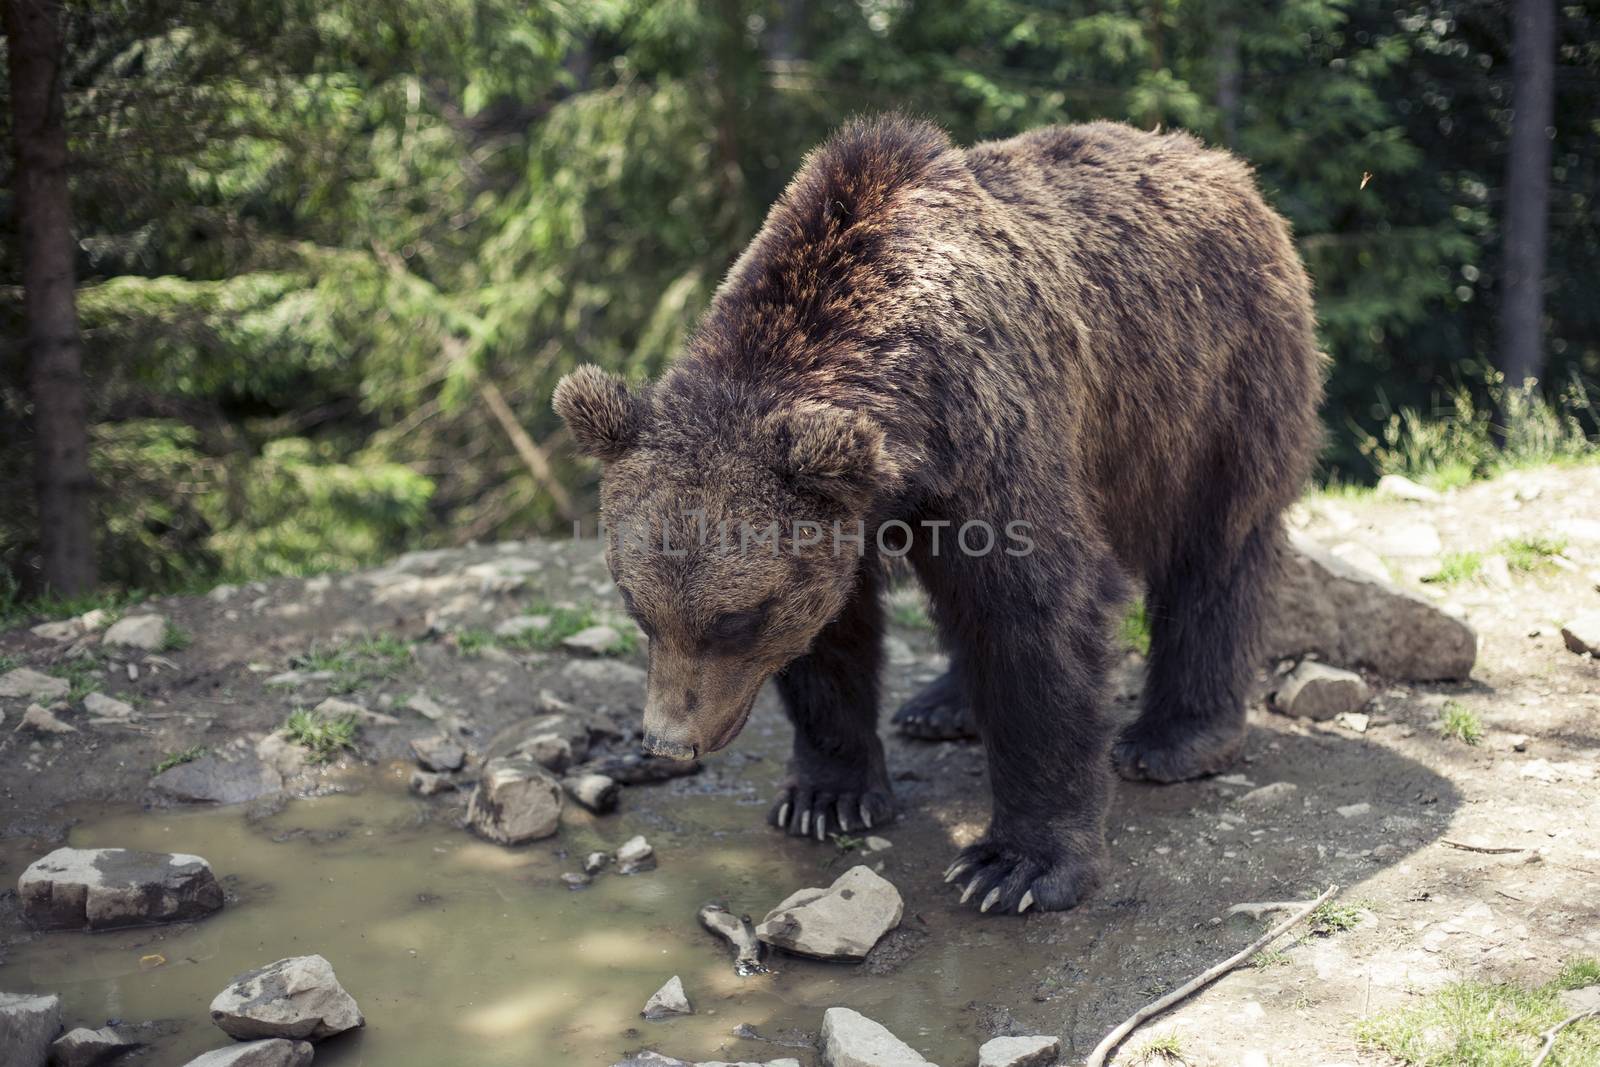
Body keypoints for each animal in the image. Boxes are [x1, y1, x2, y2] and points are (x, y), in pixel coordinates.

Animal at [556, 116, 1318, 921]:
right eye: (638, 606)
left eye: (736, 618)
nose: (670, 742)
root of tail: (1224, 165)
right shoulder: (855, 507)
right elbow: (836, 632)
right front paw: (827, 795)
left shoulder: (997, 432)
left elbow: (1037, 613)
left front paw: (1016, 864)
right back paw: (943, 705)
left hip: (1213, 388)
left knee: (1217, 549)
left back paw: (1175, 738)